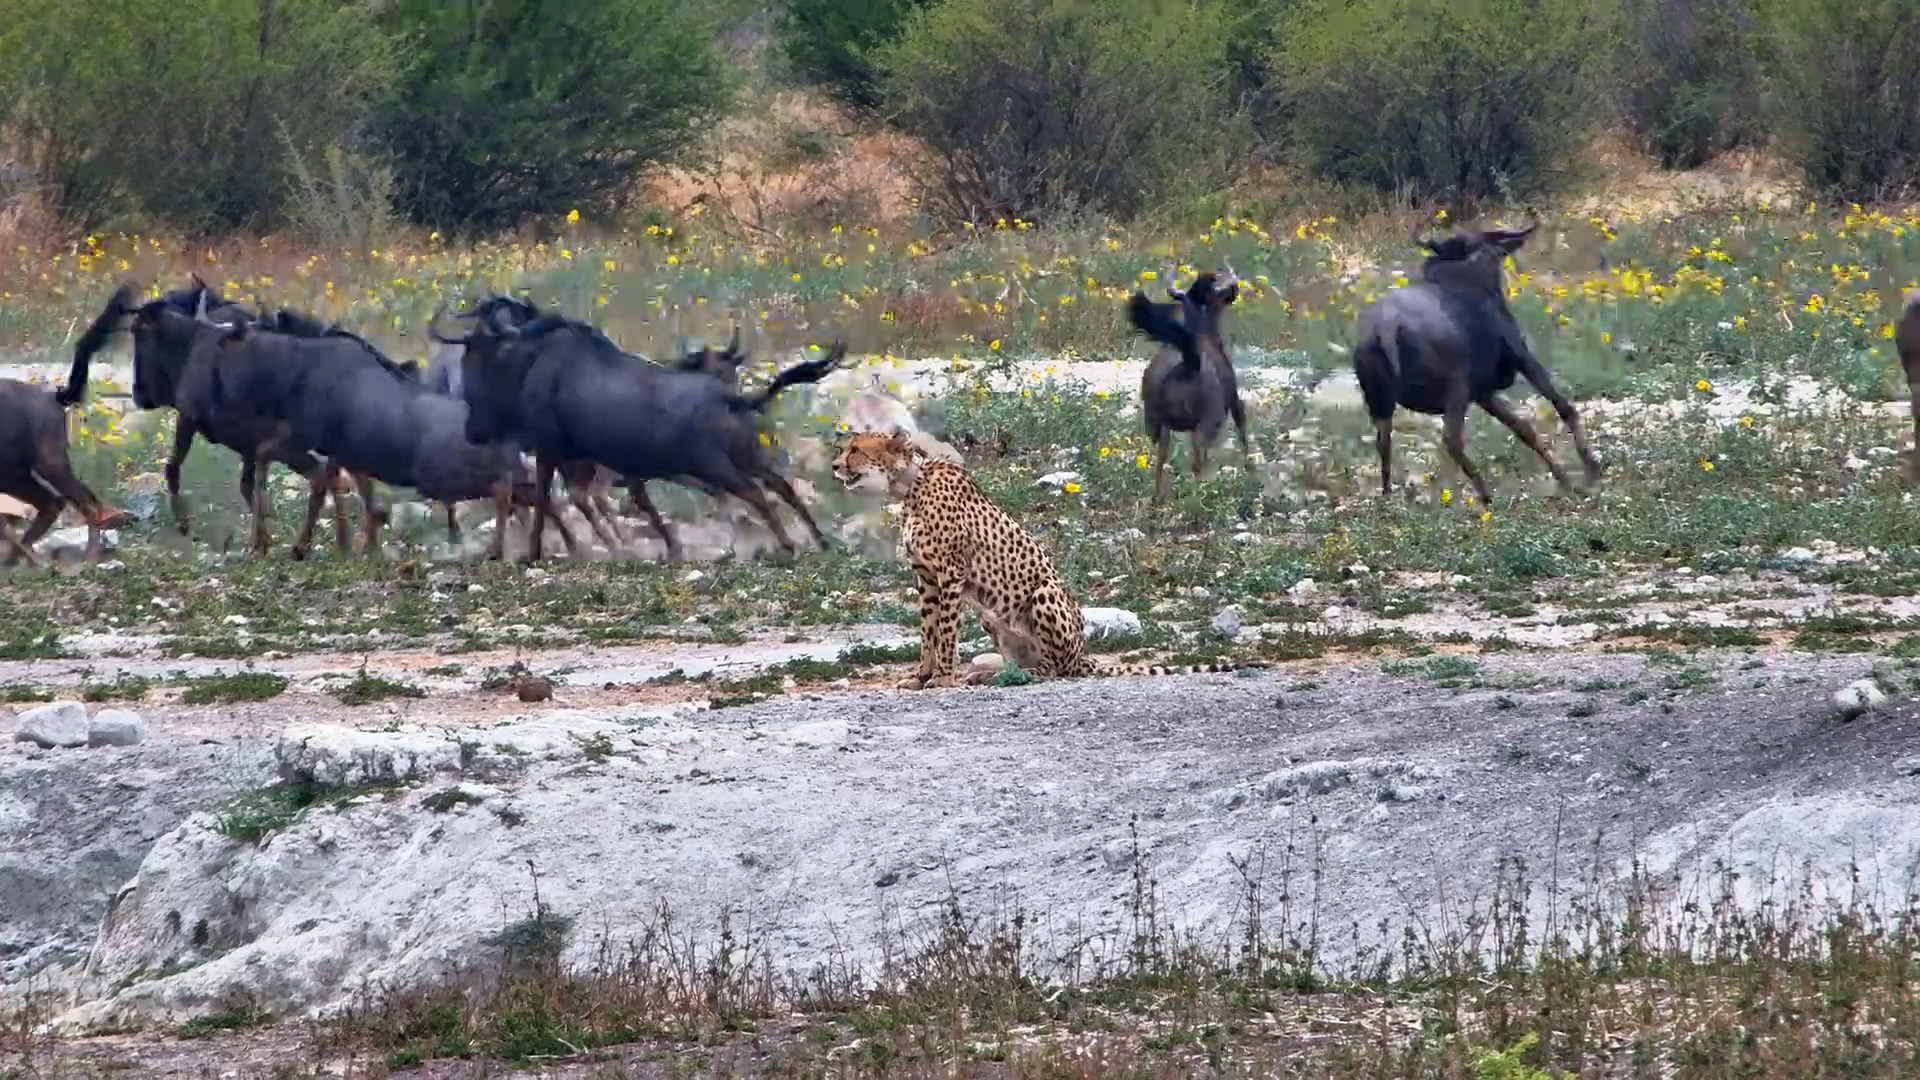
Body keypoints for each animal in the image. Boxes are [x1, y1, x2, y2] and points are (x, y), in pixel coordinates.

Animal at [832, 430, 1267, 689]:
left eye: (855, 449)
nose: (835, 466)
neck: (910, 486)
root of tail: (1084, 656)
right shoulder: (925, 579)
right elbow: (927, 630)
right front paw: (920, 675)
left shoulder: (951, 575)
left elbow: (946, 632)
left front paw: (941, 677)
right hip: (992, 616)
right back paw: (995, 673)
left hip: (1044, 592)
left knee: (1058, 670)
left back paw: (1007, 675)